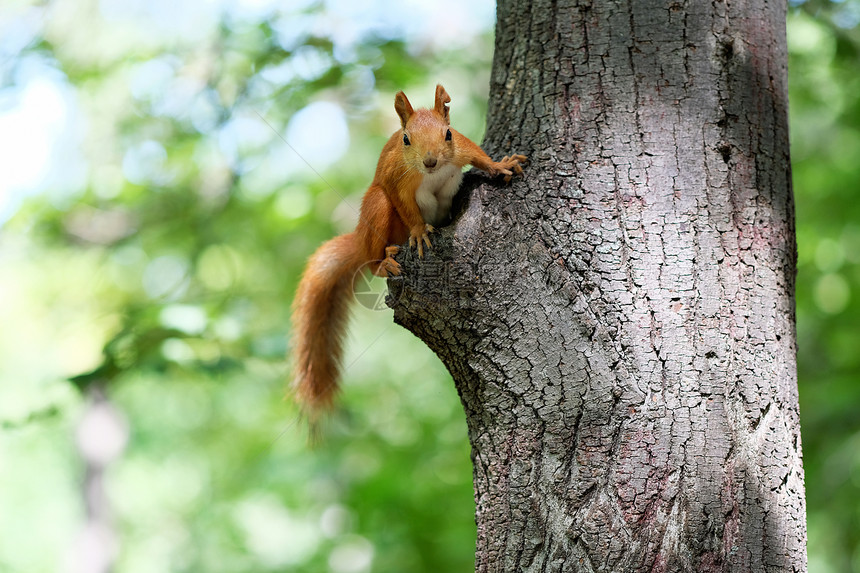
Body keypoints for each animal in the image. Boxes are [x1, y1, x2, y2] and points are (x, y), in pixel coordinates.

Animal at [292, 85, 528, 414]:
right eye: (406, 139)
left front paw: (501, 165)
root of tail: (361, 241)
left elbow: (480, 157)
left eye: (448, 134)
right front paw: (419, 232)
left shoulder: (462, 148)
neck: (432, 174)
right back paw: (383, 263)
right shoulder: (398, 178)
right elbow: (407, 207)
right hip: (378, 214)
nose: (429, 161)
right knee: (372, 254)